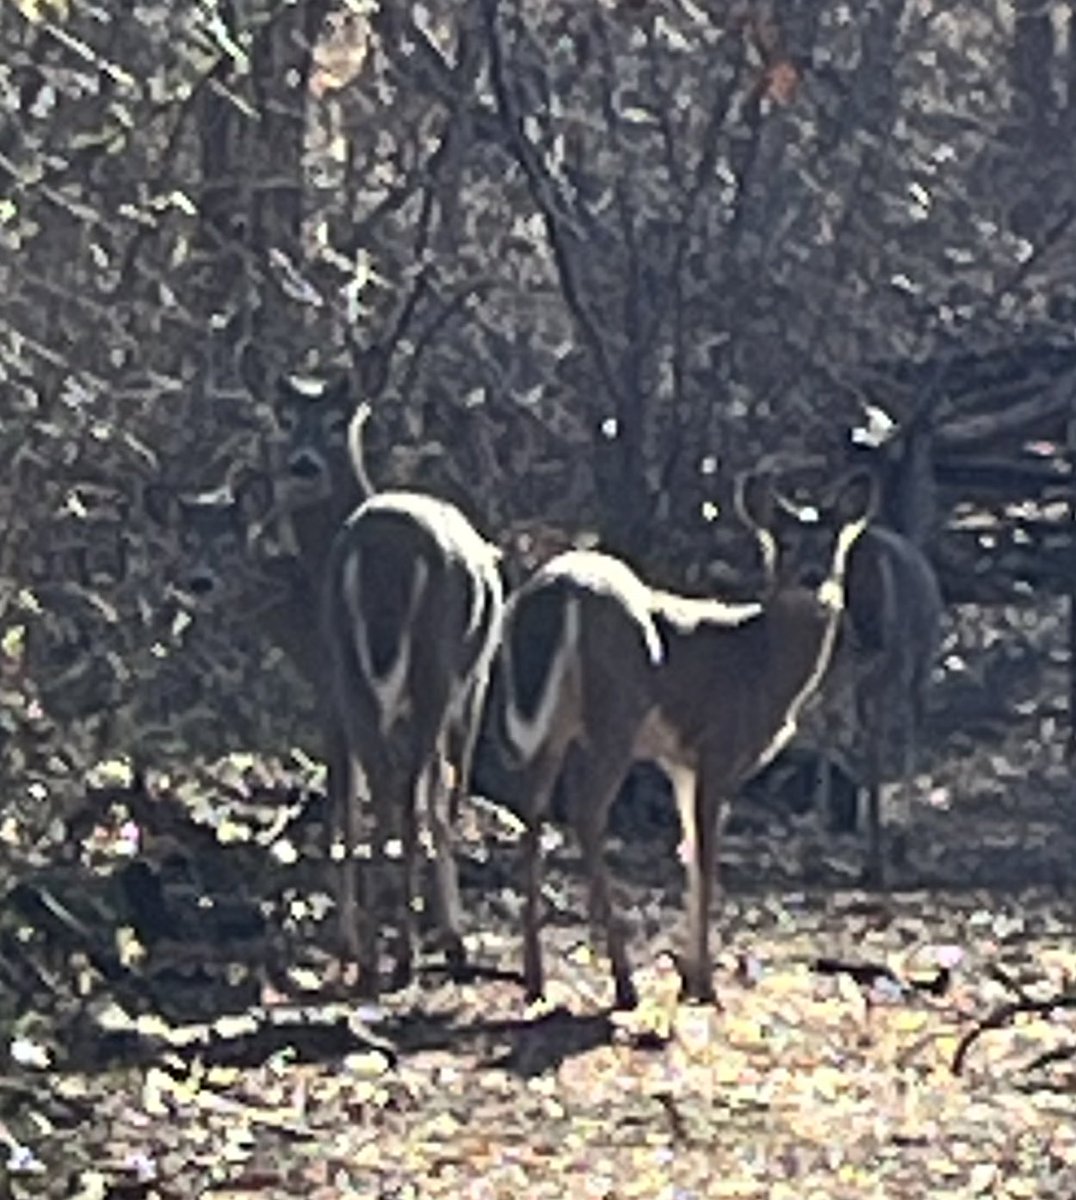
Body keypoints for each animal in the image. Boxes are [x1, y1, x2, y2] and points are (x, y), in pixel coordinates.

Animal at [489, 467, 878, 1010]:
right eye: (782, 543)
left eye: (834, 544)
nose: (812, 581)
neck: (760, 663)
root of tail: (558, 585)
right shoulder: (716, 749)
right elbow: (708, 862)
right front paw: (706, 986)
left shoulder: (680, 762)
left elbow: (688, 852)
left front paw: (691, 977)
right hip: (616, 713)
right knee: (587, 813)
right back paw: (624, 983)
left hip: (553, 724)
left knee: (532, 810)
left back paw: (535, 979)